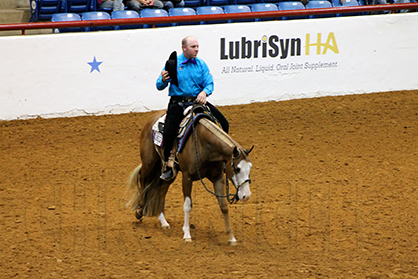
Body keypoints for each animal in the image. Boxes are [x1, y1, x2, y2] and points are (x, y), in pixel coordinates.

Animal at [125, 108, 253, 246]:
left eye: (250, 168)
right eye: (237, 168)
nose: (246, 195)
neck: (204, 144)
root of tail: (151, 119)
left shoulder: (218, 177)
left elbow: (223, 206)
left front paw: (232, 238)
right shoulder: (187, 177)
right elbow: (187, 205)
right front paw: (187, 235)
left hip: (170, 172)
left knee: (161, 190)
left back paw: (163, 222)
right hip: (149, 162)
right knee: (143, 179)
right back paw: (139, 210)